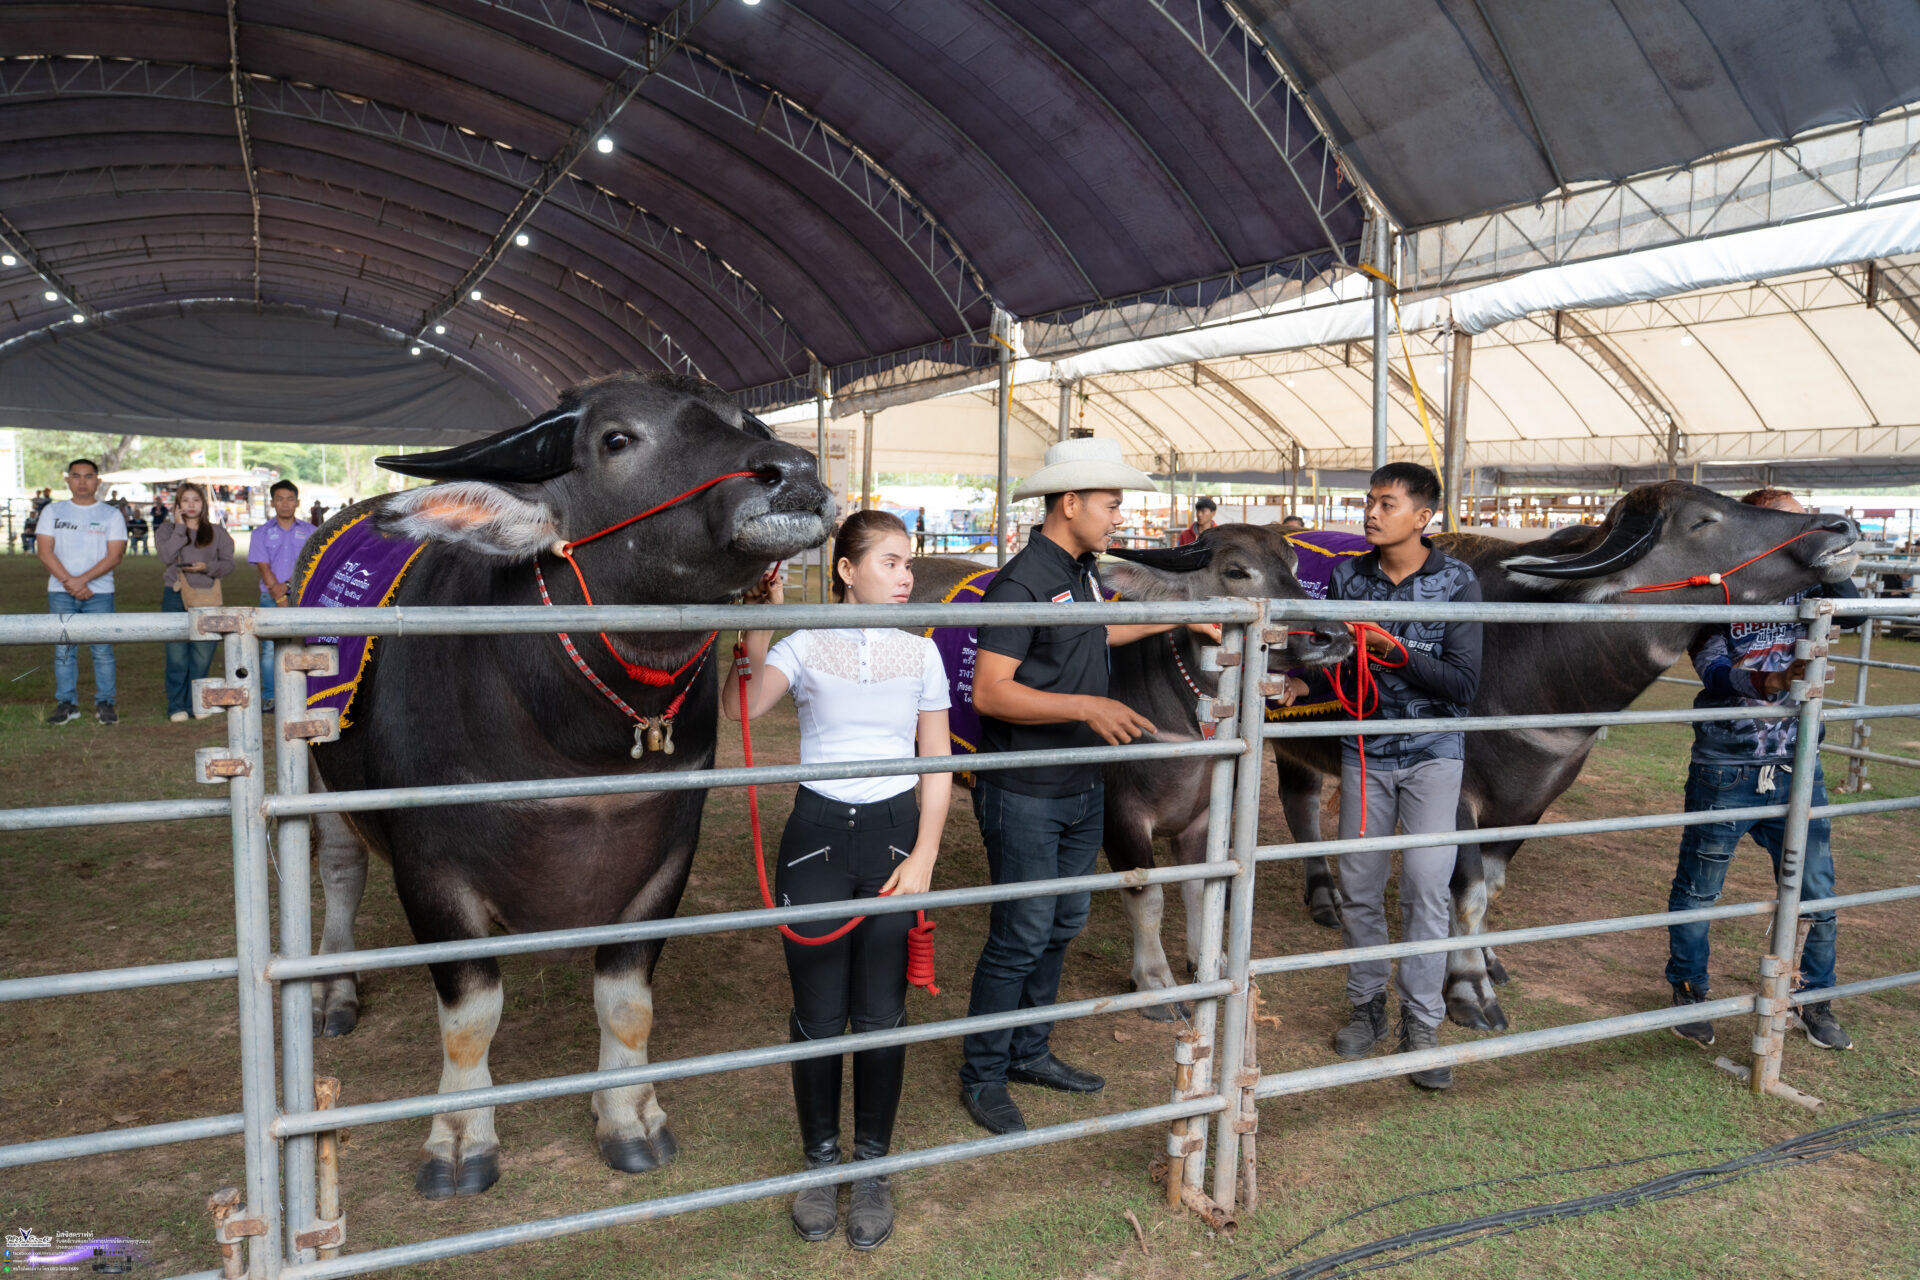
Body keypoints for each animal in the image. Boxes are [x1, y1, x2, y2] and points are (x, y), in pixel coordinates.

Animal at [298, 371, 833, 1198]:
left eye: (749, 423)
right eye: (616, 439)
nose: (796, 472)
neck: (581, 736)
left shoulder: (665, 853)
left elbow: (627, 1005)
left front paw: (628, 1116)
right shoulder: (430, 869)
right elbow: (470, 1015)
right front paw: (460, 1138)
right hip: (312, 767)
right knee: (338, 867)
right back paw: (332, 987)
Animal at [908, 524, 1355, 1018]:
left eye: (1294, 567)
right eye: (1237, 572)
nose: (1333, 634)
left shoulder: (1203, 816)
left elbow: (1198, 887)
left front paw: (1207, 961)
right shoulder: (1119, 816)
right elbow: (1148, 897)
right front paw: (1156, 983)